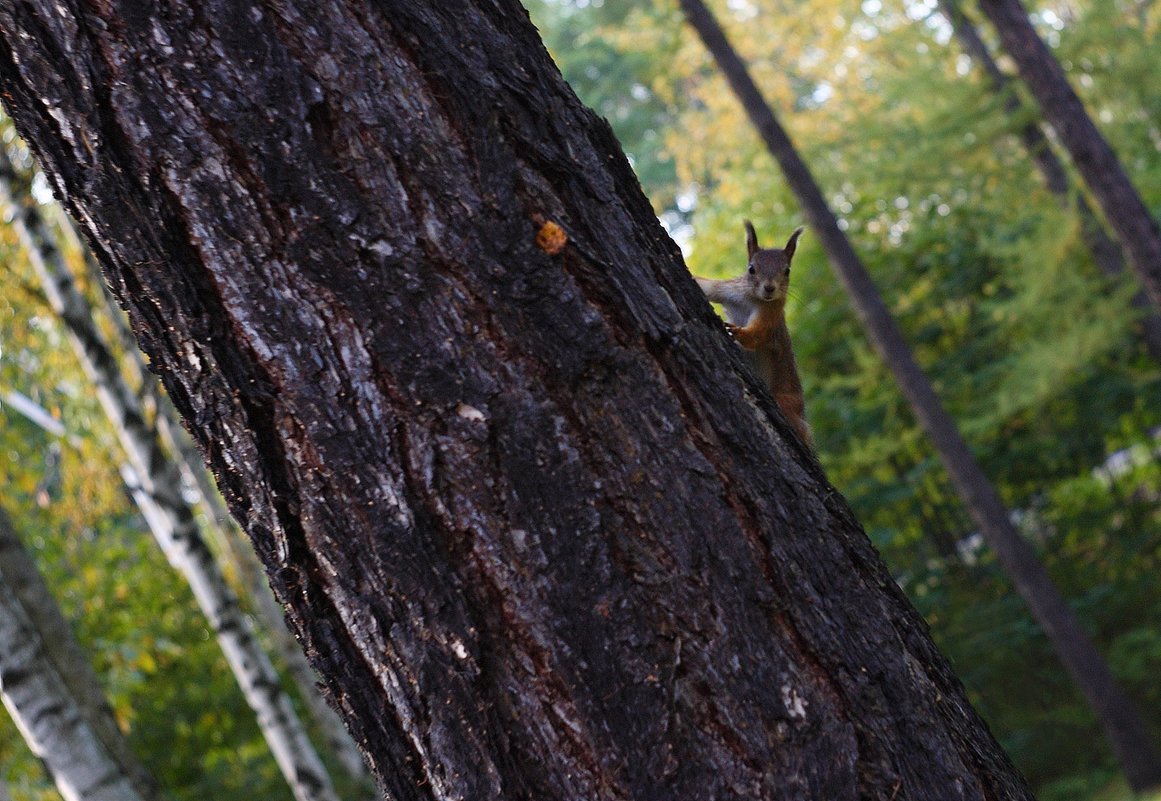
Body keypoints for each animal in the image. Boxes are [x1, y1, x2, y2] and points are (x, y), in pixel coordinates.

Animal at [691, 221, 812, 445]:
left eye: (787, 270)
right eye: (751, 269)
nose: (769, 288)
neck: (753, 298)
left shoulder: (770, 315)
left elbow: (757, 334)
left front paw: (737, 332)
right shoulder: (728, 290)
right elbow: (708, 287)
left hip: (787, 402)